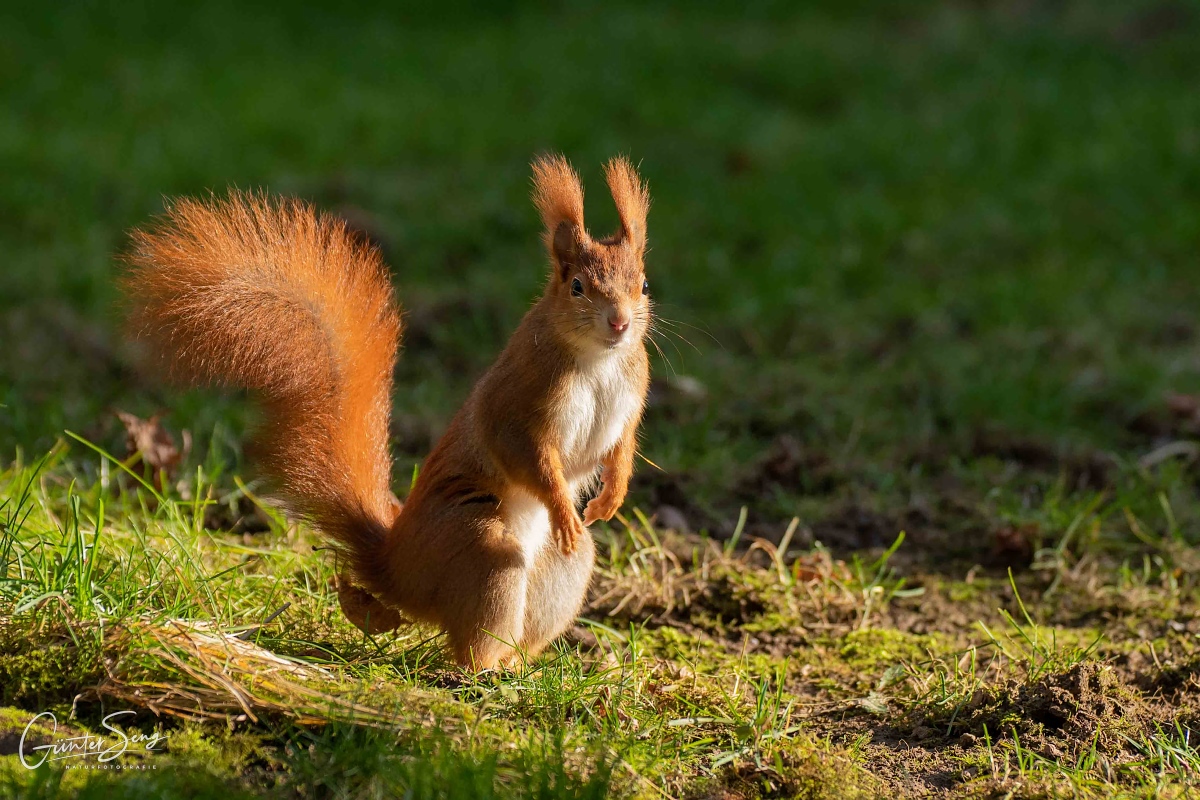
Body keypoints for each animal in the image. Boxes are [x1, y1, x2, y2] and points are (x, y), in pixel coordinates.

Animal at [123, 155, 652, 671]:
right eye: (577, 286)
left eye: (644, 283)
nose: (620, 323)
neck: (598, 360)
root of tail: (396, 567)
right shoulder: (518, 400)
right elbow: (527, 455)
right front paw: (565, 507)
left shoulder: (630, 393)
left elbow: (621, 445)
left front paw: (610, 496)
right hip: (484, 552)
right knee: (470, 640)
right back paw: (483, 672)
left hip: (563, 569)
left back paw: (521, 666)